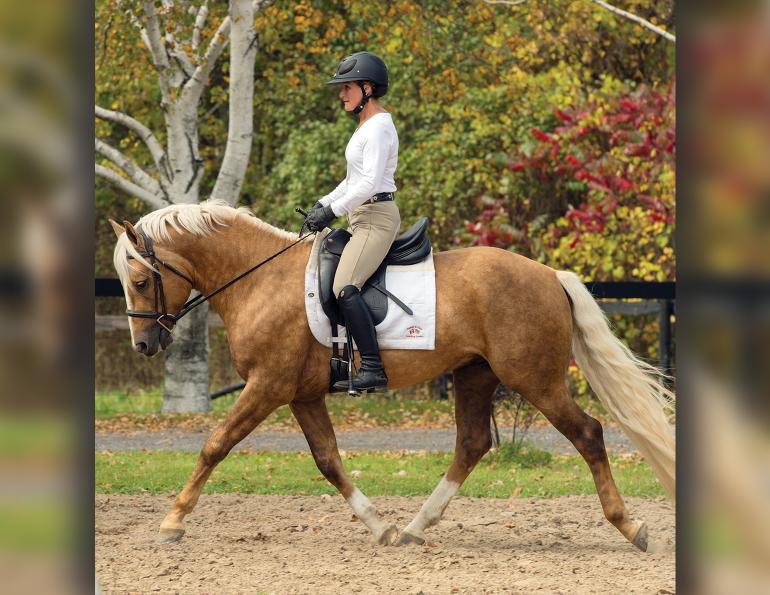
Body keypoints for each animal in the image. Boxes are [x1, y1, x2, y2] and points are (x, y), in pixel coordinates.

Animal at [109, 199, 675, 551]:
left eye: (139, 280)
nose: (144, 345)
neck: (260, 279)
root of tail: (550, 275)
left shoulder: (267, 386)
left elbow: (215, 445)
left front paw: (172, 521)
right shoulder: (300, 395)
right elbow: (328, 461)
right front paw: (378, 527)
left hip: (535, 380)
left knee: (588, 434)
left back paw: (631, 527)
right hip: (476, 375)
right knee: (472, 444)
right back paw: (413, 529)